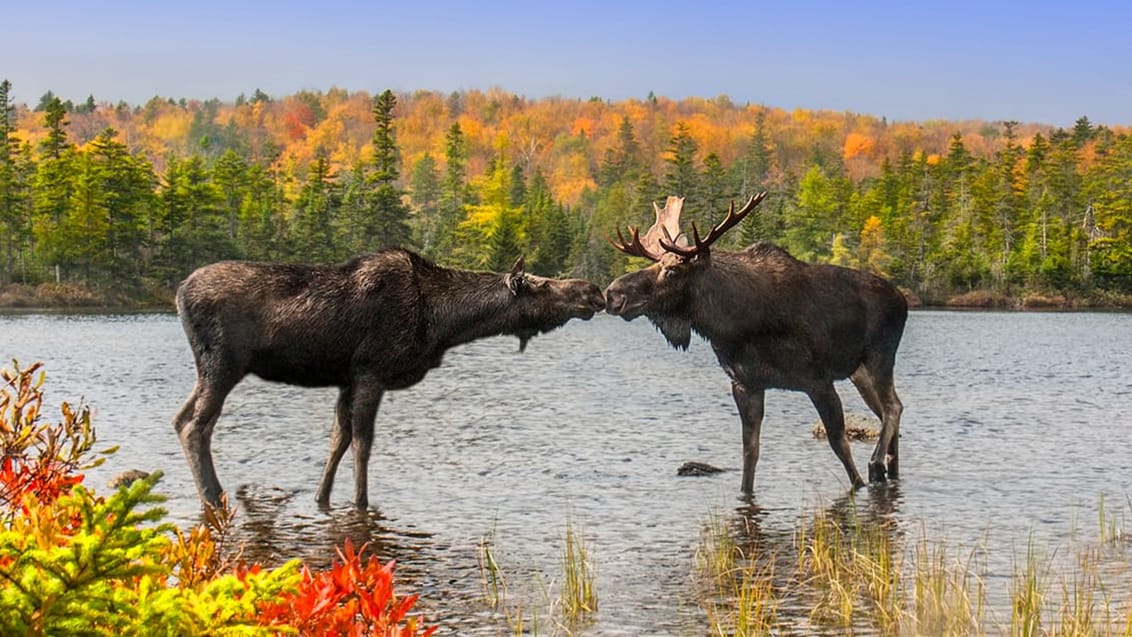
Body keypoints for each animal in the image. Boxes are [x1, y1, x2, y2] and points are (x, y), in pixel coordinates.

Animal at [606, 193, 905, 493]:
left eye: (672, 270)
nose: (612, 294)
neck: (732, 324)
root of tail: (903, 299)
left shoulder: (818, 381)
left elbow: (840, 445)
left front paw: (859, 482)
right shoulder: (745, 384)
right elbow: (750, 453)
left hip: (880, 356)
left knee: (893, 407)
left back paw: (876, 464)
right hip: (858, 372)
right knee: (888, 410)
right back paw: (890, 468)